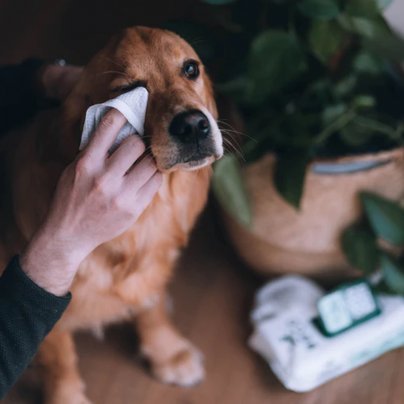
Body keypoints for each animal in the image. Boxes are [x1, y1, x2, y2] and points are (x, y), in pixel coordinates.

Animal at [0, 26, 221, 402]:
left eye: (191, 68)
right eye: (129, 89)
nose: (193, 125)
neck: (148, 215)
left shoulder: (151, 266)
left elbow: (151, 306)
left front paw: (168, 353)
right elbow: (60, 360)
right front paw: (67, 398)